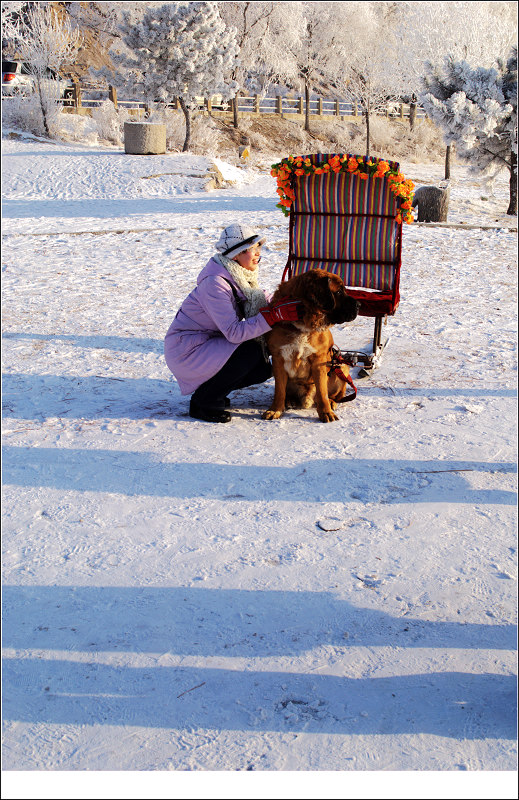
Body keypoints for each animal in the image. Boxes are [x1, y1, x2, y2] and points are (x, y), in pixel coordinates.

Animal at [266, 268, 360, 422]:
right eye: (339, 292)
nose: (359, 305)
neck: (303, 323)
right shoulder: (278, 358)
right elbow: (279, 390)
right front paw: (275, 410)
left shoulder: (319, 362)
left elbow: (322, 392)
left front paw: (326, 412)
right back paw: (289, 401)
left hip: (341, 366)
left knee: (334, 395)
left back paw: (331, 402)